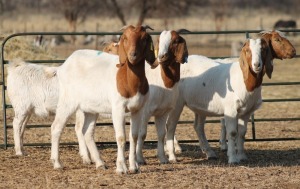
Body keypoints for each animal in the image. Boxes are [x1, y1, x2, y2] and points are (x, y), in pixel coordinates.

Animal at [49, 24, 156, 173]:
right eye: (125, 38)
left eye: (144, 38)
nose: (133, 55)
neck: (128, 80)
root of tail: (62, 67)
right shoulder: (118, 108)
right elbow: (121, 137)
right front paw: (121, 168)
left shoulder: (138, 109)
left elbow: (133, 136)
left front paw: (134, 167)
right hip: (67, 102)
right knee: (56, 127)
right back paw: (57, 163)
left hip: (90, 108)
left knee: (86, 132)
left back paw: (100, 163)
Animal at [135, 30, 189, 165]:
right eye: (159, 40)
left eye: (175, 41)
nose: (161, 56)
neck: (164, 83)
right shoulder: (145, 112)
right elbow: (142, 134)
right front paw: (140, 159)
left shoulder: (163, 112)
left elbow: (161, 134)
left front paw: (163, 158)